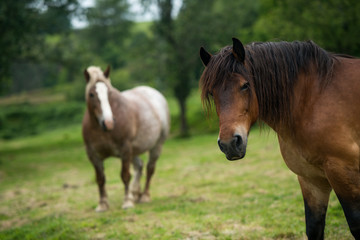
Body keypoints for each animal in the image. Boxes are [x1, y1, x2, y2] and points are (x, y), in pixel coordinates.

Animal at [83, 65, 170, 210]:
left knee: (150, 169)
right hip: (133, 151)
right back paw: (135, 193)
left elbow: (125, 175)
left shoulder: (125, 149)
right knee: (139, 166)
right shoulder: (93, 155)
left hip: (155, 146)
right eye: (91, 94)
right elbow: (100, 179)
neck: (102, 130)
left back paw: (144, 196)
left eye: (110, 93)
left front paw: (127, 202)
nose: (108, 123)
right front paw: (102, 205)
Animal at [200, 38, 360, 239]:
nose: (229, 144)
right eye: (212, 93)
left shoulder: (343, 172)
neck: (312, 100)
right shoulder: (311, 180)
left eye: (245, 85)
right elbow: (314, 227)